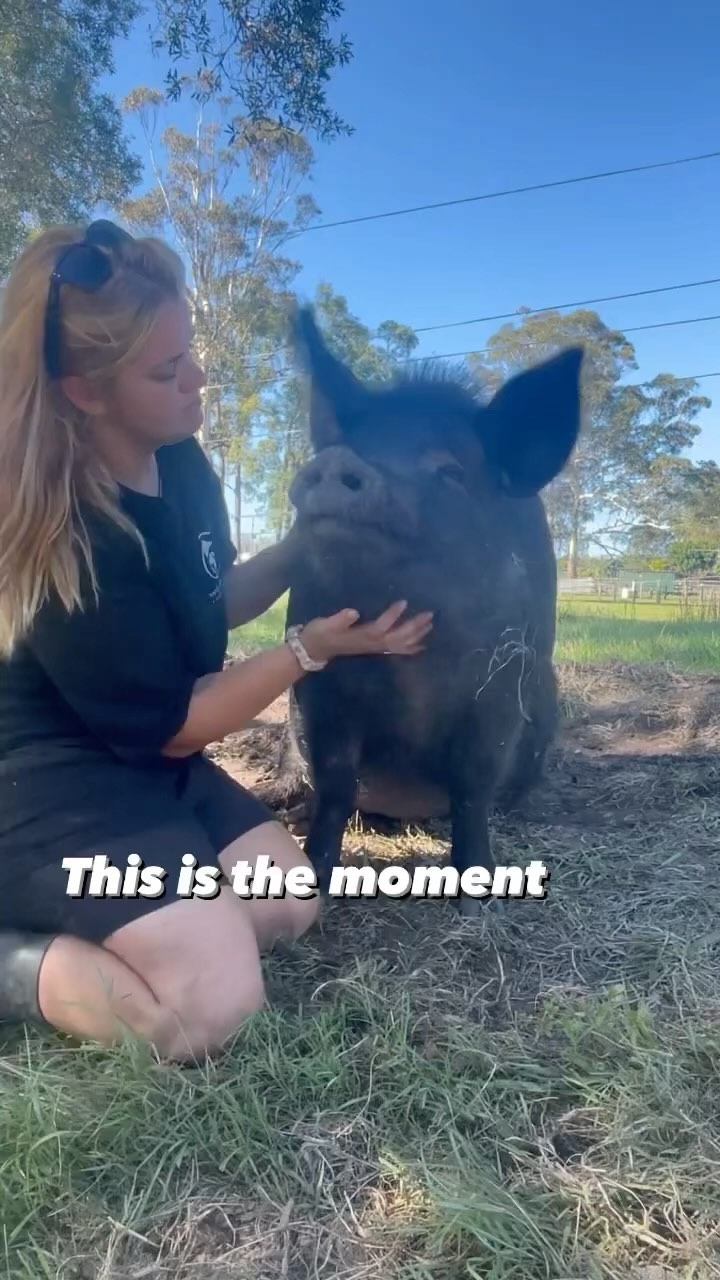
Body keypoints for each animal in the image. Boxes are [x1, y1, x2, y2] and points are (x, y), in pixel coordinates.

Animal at [279, 307, 583, 916]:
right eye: (356, 440)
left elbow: (472, 785)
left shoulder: (500, 688)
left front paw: (475, 902)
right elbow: (336, 781)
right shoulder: (323, 692)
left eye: (450, 470)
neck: (413, 673)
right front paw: (314, 878)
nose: (339, 458)